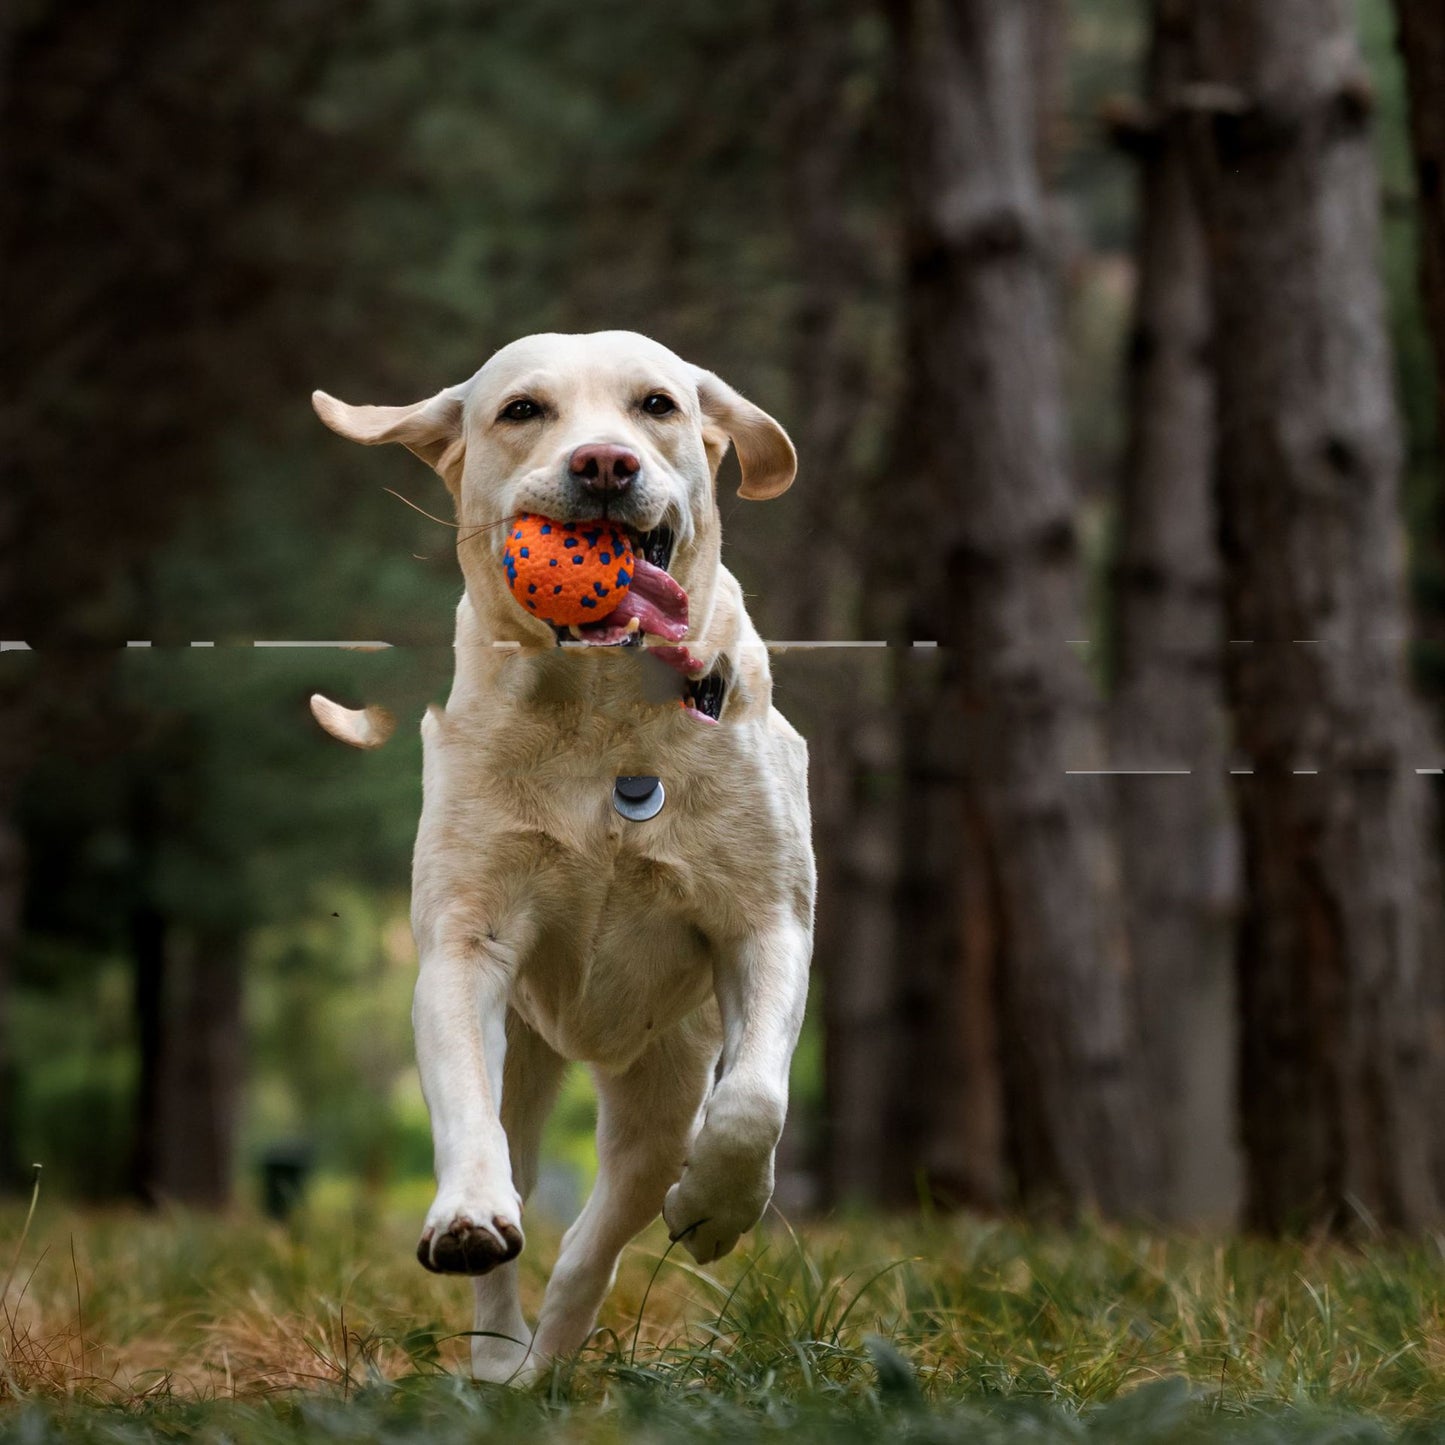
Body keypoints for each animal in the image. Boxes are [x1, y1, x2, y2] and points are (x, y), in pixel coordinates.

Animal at [312, 332, 820, 1381]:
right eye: (522, 410)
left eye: (658, 405)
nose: (604, 464)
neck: (601, 711)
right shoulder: (464, 945)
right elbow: (467, 1113)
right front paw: (466, 1216)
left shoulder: (766, 924)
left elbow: (754, 1100)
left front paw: (718, 1210)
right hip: (530, 1050)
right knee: (517, 1162)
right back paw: (505, 1356)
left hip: (661, 1080)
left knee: (609, 1218)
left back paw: (566, 1337)